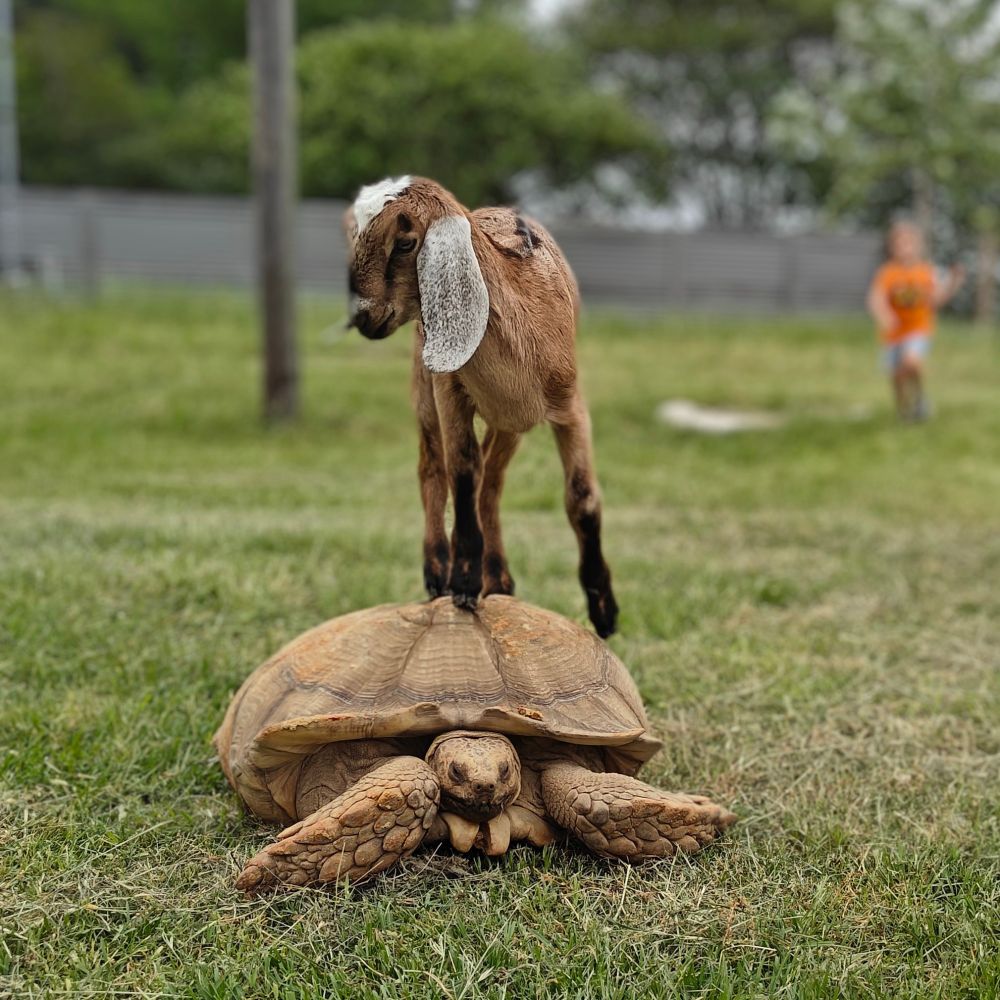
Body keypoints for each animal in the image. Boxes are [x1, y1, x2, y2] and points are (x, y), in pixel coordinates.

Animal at [344, 176, 618, 637]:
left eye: (405, 242)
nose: (362, 318)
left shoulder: (570, 406)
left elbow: (581, 498)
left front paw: (604, 611)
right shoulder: (449, 388)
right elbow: (462, 470)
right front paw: (463, 581)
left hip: (511, 421)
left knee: (492, 479)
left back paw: (499, 577)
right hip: (426, 390)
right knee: (434, 467)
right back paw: (440, 568)